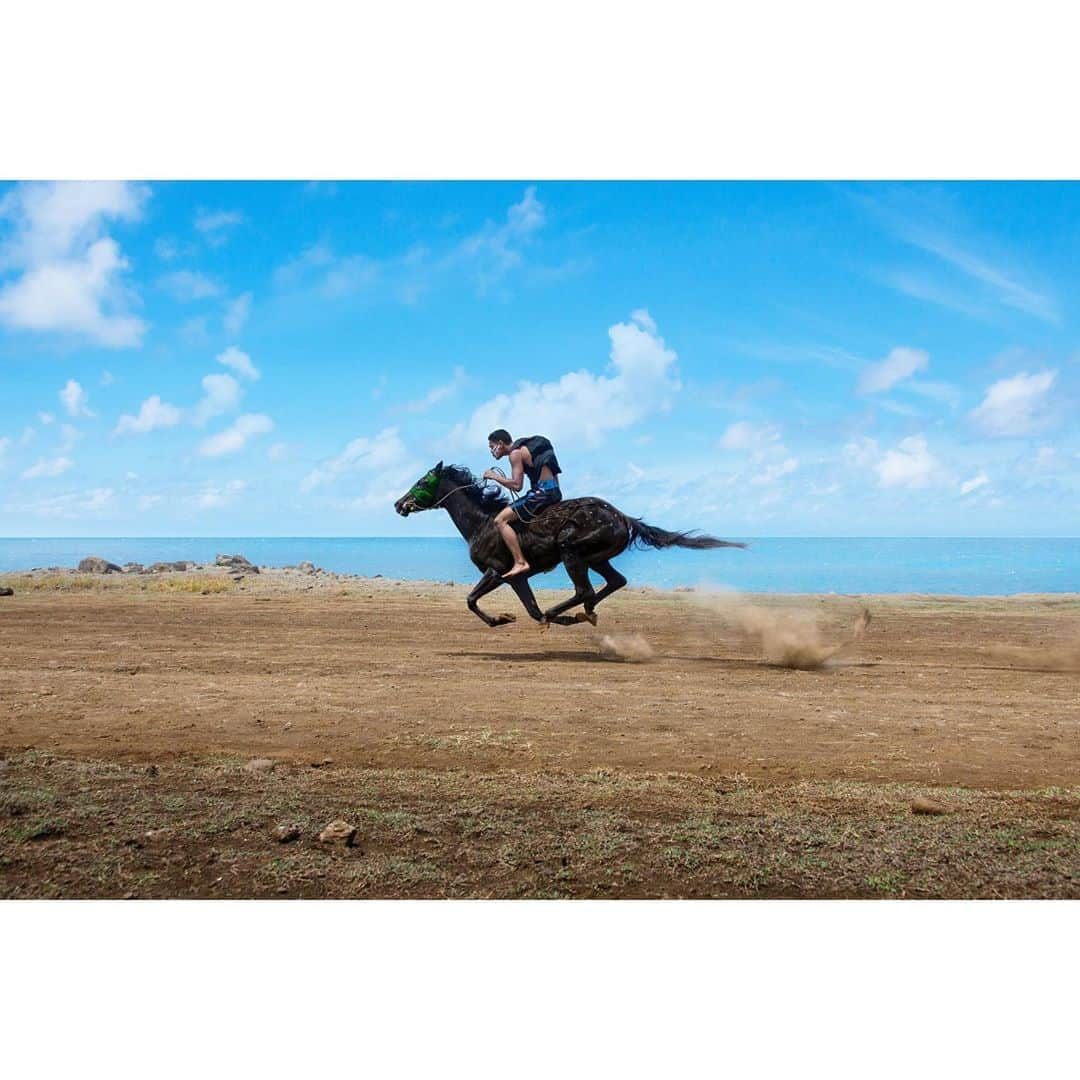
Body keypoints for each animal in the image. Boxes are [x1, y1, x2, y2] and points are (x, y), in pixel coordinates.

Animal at [393, 462, 747, 630]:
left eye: (423, 481)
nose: (399, 504)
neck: (483, 522)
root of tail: (623, 517)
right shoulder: (517, 578)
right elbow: (531, 610)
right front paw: (512, 617)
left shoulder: (496, 571)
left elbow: (470, 600)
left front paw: (500, 619)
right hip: (596, 557)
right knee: (614, 582)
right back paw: (585, 613)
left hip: (571, 551)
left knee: (584, 590)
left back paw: (571, 612)